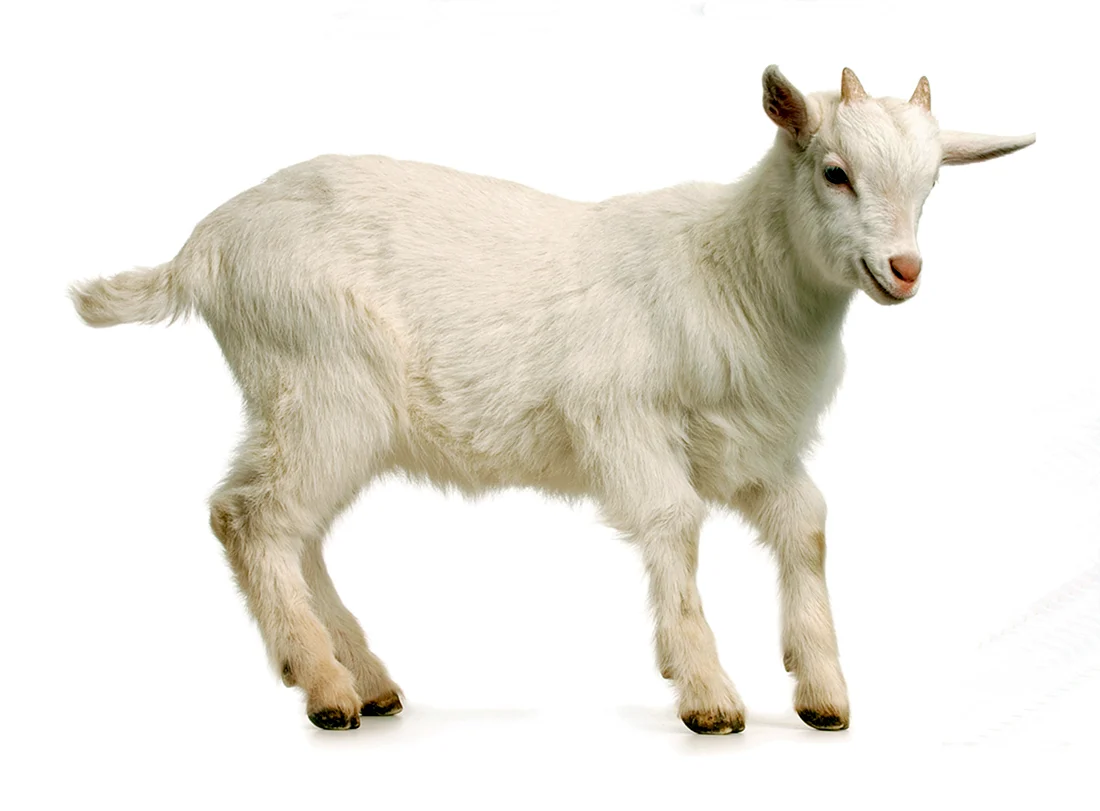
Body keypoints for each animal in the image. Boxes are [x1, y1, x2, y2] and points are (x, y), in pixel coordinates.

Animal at [70, 67, 1035, 734]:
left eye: (933, 183)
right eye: (835, 172)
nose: (903, 270)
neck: (733, 268)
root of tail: (204, 249)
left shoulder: (747, 443)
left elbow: (808, 522)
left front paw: (822, 689)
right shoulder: (626, 421)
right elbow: (675, 524)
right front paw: (706, 692)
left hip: (316, 407)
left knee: (290, 527)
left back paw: (364, 676)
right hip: (319, 383)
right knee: (251, 515)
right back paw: (324, 684)